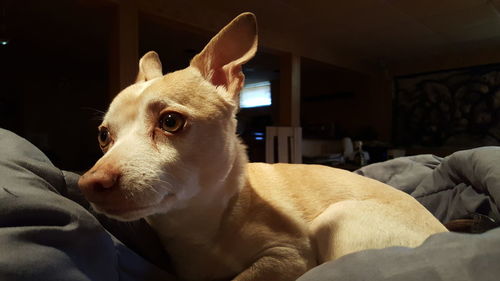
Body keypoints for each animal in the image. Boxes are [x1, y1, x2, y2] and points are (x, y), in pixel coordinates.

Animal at [79, 12, 450, 278]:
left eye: (170, 121)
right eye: (103, 136)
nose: (89, 184)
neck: (199, 222)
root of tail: (444, 232)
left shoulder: (288, 256)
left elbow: (243, 277)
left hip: (337, 216)